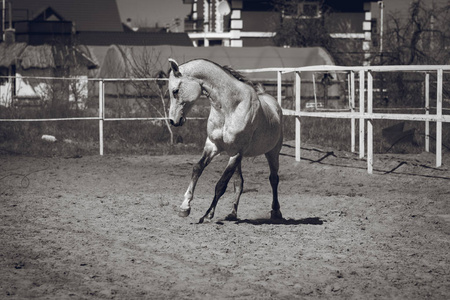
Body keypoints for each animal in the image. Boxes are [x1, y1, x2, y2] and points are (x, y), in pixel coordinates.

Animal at [167, 58, 284, 223]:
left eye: (175, 91)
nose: (173, 121)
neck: (229, 107)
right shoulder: (212, 146)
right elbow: (197, 169)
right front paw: (185, 207)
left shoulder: (236, 153)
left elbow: (221, 184)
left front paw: (207, 214)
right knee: (239, 183)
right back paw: (232, 214)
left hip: (272, 153)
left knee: (273, 179)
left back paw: (276, 212)